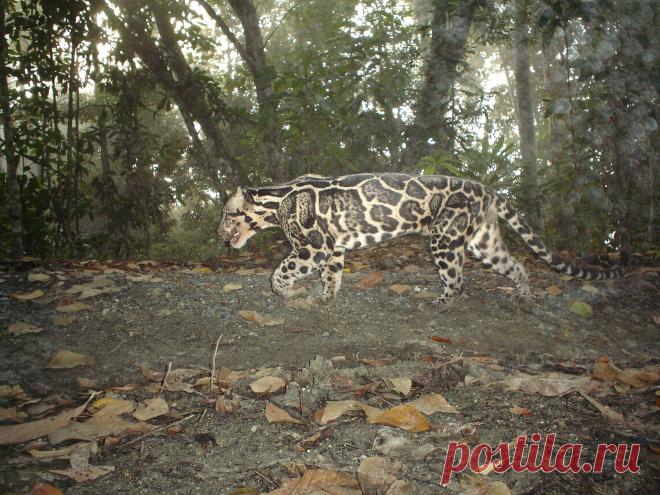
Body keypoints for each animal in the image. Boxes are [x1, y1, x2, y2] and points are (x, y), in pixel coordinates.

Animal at [218, 173, 623, 308]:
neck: (275, 200)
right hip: (483, 242)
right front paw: (325, 297)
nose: (219, 233)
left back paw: (438, 302)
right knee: (518, 265)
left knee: (457, 281)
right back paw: (523, 297)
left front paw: (286, 293)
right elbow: (332, 276)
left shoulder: (313, 247)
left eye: (225, 213)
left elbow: (281, 271)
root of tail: (489, 190)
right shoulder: (333, 247)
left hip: (445, 237)